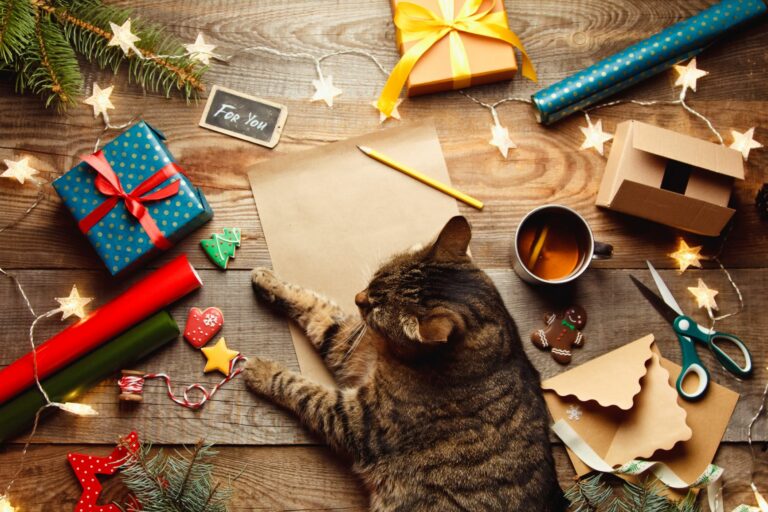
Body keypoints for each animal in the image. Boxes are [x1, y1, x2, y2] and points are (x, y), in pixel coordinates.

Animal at [244, 217, 564, 512]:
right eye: (374, 279)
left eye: (374, 308)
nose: (357, 297)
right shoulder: (351, 347)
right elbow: (317, 309)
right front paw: (268, 281)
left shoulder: (358, 419)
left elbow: (304, 390)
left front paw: (260, 370)